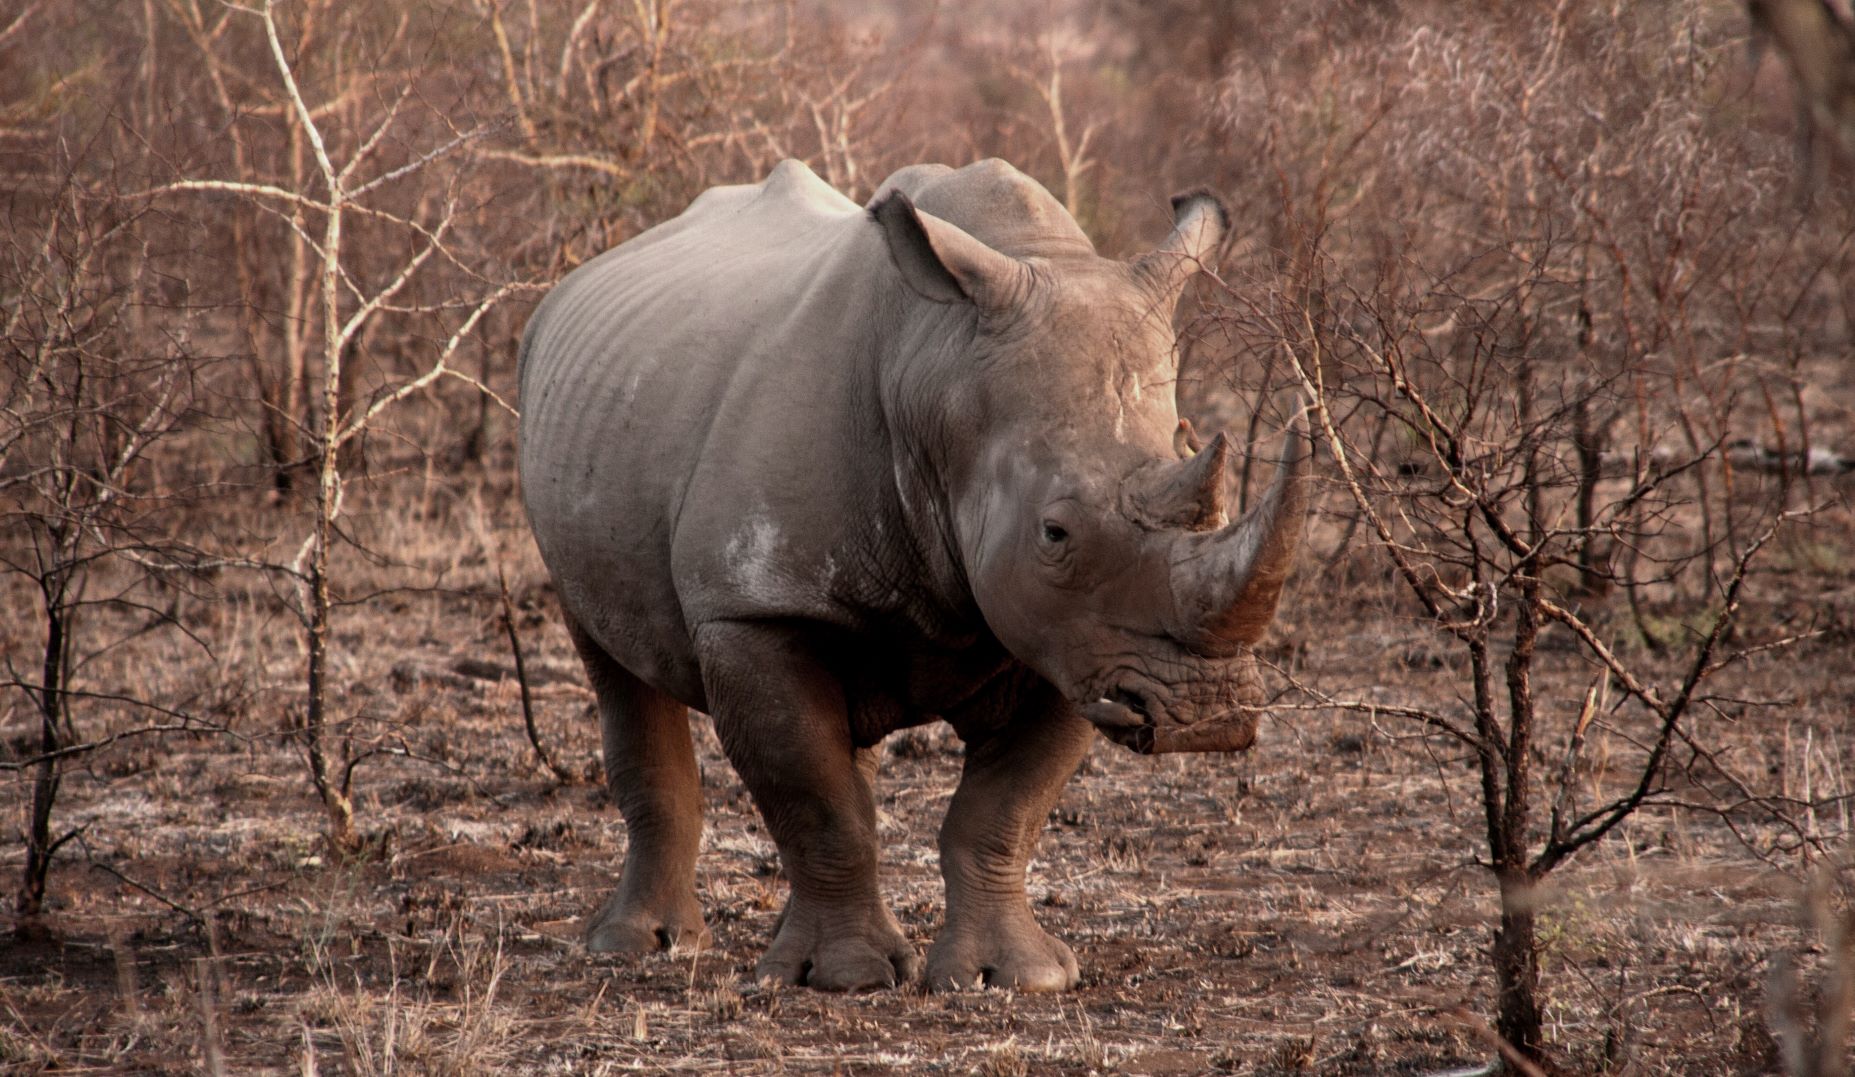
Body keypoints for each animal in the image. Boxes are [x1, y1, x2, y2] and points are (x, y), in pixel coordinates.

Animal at [517, 158, 1308, 992]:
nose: (1208, 716)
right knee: (614, 665)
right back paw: (639, 946)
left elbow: (1003, 807)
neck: (939, 373)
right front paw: (846, 978)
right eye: (1054, 532)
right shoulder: (751, 607)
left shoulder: (1077, 642)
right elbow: (815, 798)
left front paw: (1015, 976)